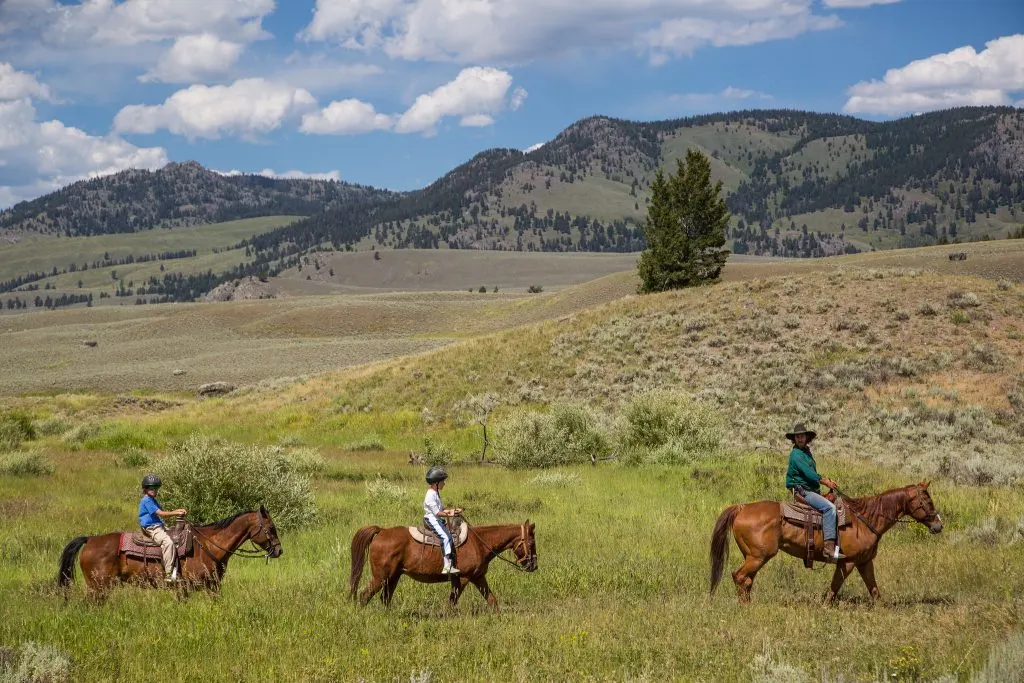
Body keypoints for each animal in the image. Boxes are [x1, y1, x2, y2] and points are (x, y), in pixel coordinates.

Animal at [59, 507, 284, 598]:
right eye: (271, 528)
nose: (279, 550)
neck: (208, 546)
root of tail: (90, 539)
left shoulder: (213, 586)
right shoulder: (185, 587)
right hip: (97, 586)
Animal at [350, 520, 540, 610]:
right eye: (531, 542)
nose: (534, 566)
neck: (480, 543)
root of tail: (381, 531)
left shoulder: (478, 577)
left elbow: (492, 600)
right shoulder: (463, 578)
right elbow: (452, 600)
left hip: (393, 576)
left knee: (385, 598)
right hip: (381, 577)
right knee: (364, 595)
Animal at [712, 483, 942, 606]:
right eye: (928, 501)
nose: (938, 525)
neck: (865, 519)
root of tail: (741, 508)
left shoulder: (865, 562)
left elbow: (873, 588)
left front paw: (882, 608)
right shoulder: (847, 562)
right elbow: (835, 586)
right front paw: (824, 606)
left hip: (753, 557)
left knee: (747, 580)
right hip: (758, 557)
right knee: (740, 576)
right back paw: (745, 606)